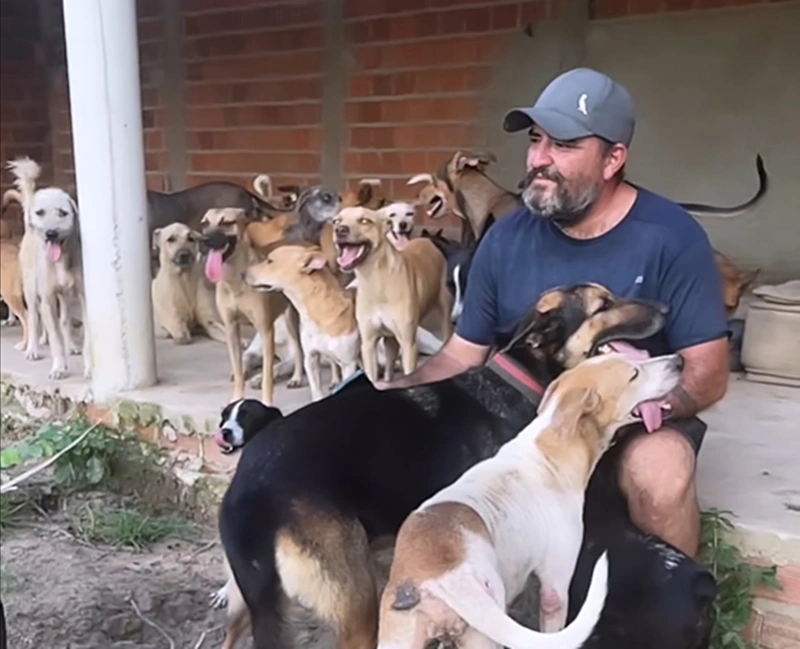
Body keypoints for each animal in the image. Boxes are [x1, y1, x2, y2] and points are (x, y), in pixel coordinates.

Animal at [202, 208, 298, 402]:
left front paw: (266, 399)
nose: (205, 239)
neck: (234, 281)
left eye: (226, 222)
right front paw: (236, 398)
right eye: (205, 223)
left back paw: (297, 378)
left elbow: (269, 375)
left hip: (294, 320)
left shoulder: (266, 332)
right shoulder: (231, 328)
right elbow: (240, 368)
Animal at [332, 205, 456, 382]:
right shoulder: (368, 344)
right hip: (390, 340)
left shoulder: (408, 345)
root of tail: (428, 240)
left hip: (444, 312)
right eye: (336, 221)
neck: (375, 280)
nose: (340, 230)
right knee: (389, 367)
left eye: (365, 221)